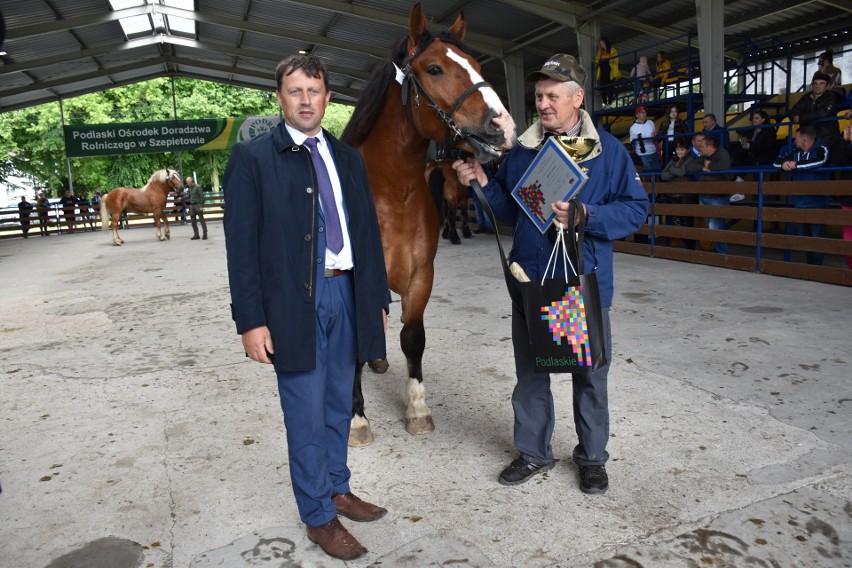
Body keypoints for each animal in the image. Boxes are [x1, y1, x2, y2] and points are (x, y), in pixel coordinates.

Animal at [338, 5, 512, 448]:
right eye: (434, 69)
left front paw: (417, 409)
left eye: (477, 65)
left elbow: (412, 339)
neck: (391, 195)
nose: (503, 126)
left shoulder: (421, 275)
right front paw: (356, 420)